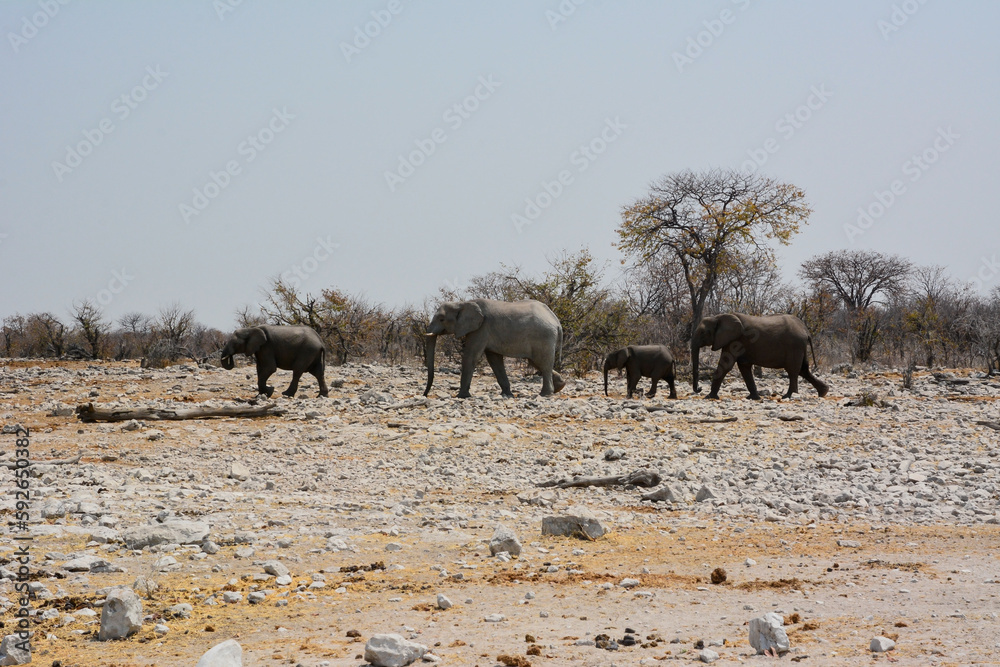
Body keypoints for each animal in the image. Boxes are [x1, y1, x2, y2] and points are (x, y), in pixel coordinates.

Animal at [423, 299, 565, 398]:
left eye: (441, 319)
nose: (425, 395)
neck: (462, 303)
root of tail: (556, 321)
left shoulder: (481, 328)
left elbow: (471, 356)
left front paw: (461, 396)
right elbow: (494, 360)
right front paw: (507, 395)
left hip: (544, 336)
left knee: (543, 363)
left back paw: (545, 394)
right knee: (536, 362)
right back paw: (559, 386)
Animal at [692, 313, 828, 400]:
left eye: (703, 332)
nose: (699, 388)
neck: (718, 317)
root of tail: (805, 330)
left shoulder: (735, 340)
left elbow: (726, 365)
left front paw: (709, 397)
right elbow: (744, 367)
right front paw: (753, 398)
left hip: (795, 346)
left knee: (793, 371)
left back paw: (787, 396)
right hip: (800, 347)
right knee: (803, 370)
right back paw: (824, 392)